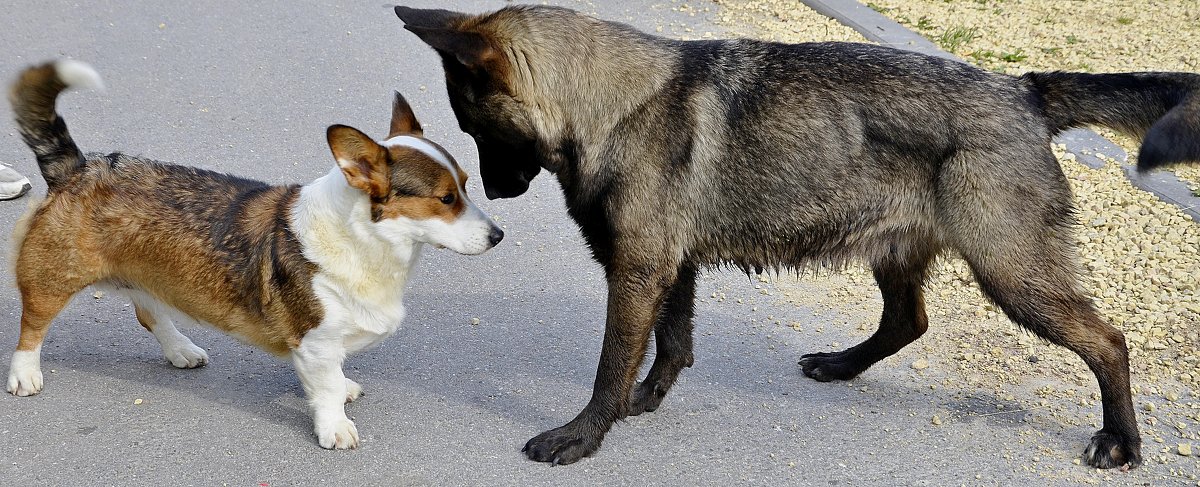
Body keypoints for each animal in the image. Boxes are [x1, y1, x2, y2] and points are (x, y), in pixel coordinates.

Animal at [5, 59, 501, 448]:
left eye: (466, 185)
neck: (364, 239)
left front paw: (343, 389)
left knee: (149, 313)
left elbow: (334, 377)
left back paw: (182, 350)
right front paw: (335, 427)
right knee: (32, 326)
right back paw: (25, 375)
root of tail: (78, 168)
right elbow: (324, 389)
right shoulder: (315, 342)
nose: (498, 236)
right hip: (53, 277)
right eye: (445, 199)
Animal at [396, 2, 1200, 467]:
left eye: (475, 125)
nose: (497, 194)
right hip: (901, 253)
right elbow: (672, 345)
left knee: (1108, 341)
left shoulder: (638, 271)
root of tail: (1023, 89)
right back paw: (843, 366)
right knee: (908, 321)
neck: (614, 100)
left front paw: (586, 433)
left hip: (1014, 275)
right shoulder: (669, 269)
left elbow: (611, 364)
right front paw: (641, 403)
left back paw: (1122, 441)